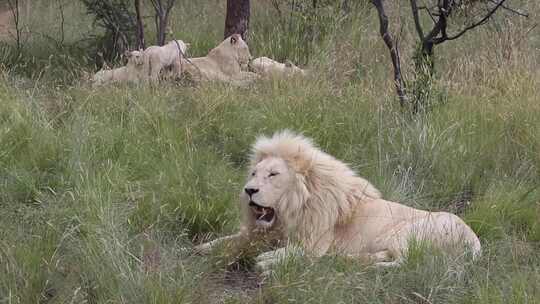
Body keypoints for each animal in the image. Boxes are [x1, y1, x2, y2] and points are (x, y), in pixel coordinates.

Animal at [195, 131, 480, 270]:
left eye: (273, 174)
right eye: (254, 173)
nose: (249, 190)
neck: (291, 211)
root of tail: (474, 240)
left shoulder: (314, 243)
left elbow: (297, 253)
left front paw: (269, 261)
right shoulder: (263, 233)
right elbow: (229, 240)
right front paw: (202, 248)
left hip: (407, 233)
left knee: (405, 262)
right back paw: (351, 259)